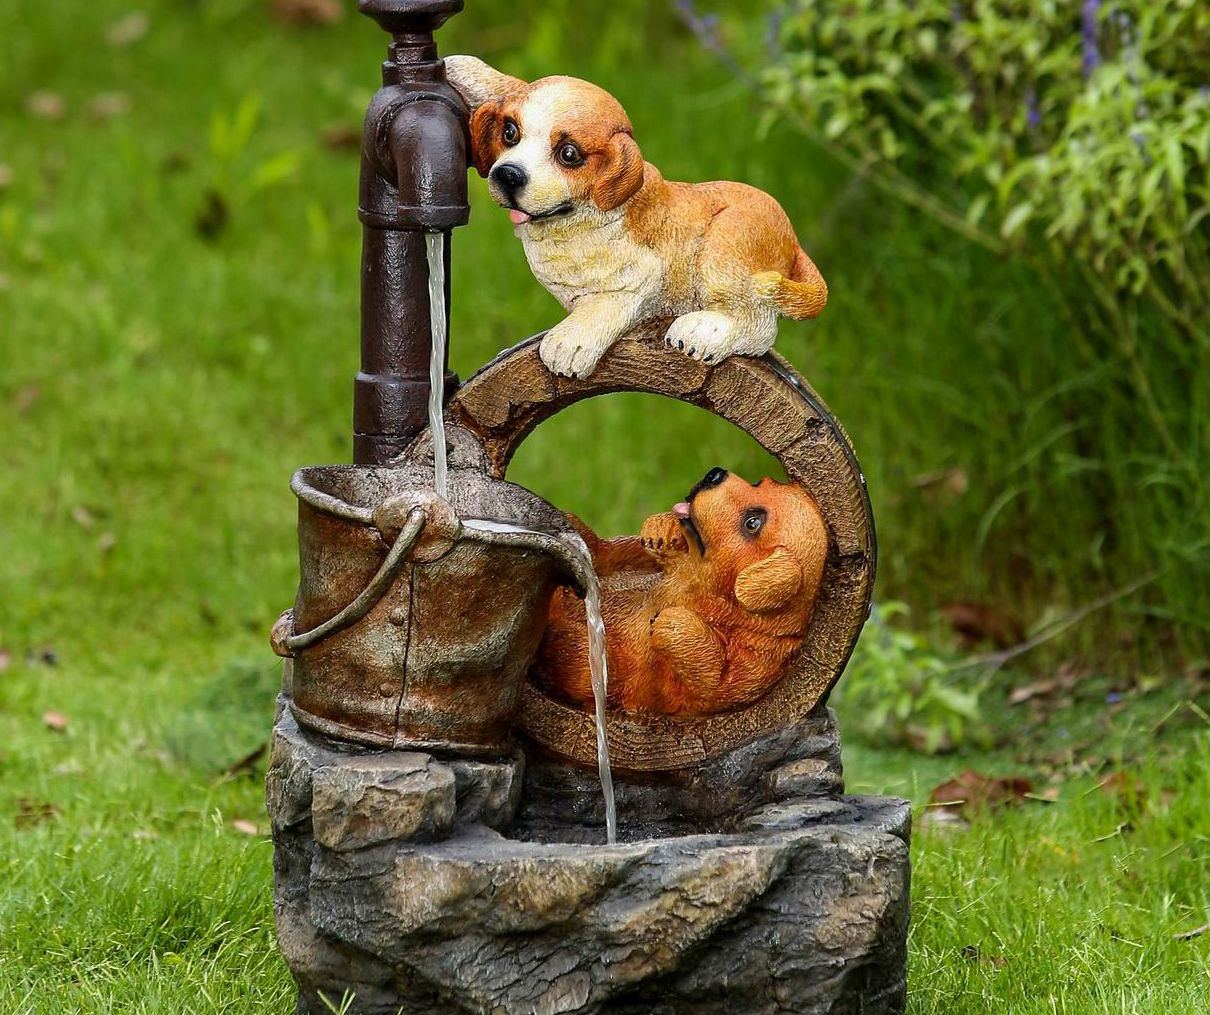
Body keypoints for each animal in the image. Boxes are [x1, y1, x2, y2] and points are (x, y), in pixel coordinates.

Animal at [447, 52, 832, 377]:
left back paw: (702, 331)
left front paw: (570, 344)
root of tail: (793, 241)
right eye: (510, 132)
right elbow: (509, 84)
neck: (572, 222)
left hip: (726, 243)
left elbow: (605, 303)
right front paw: (460, 68)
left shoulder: (641, 277)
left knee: (759, 327)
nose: (507, 175)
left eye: (569, 154)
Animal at [534, 469, 827, 716]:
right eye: (757, 483)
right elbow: (613, 554)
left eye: (752, 523)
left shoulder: (759, 662)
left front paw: (670, 623)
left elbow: (716, 684)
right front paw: (662, 530)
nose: (714, 474)